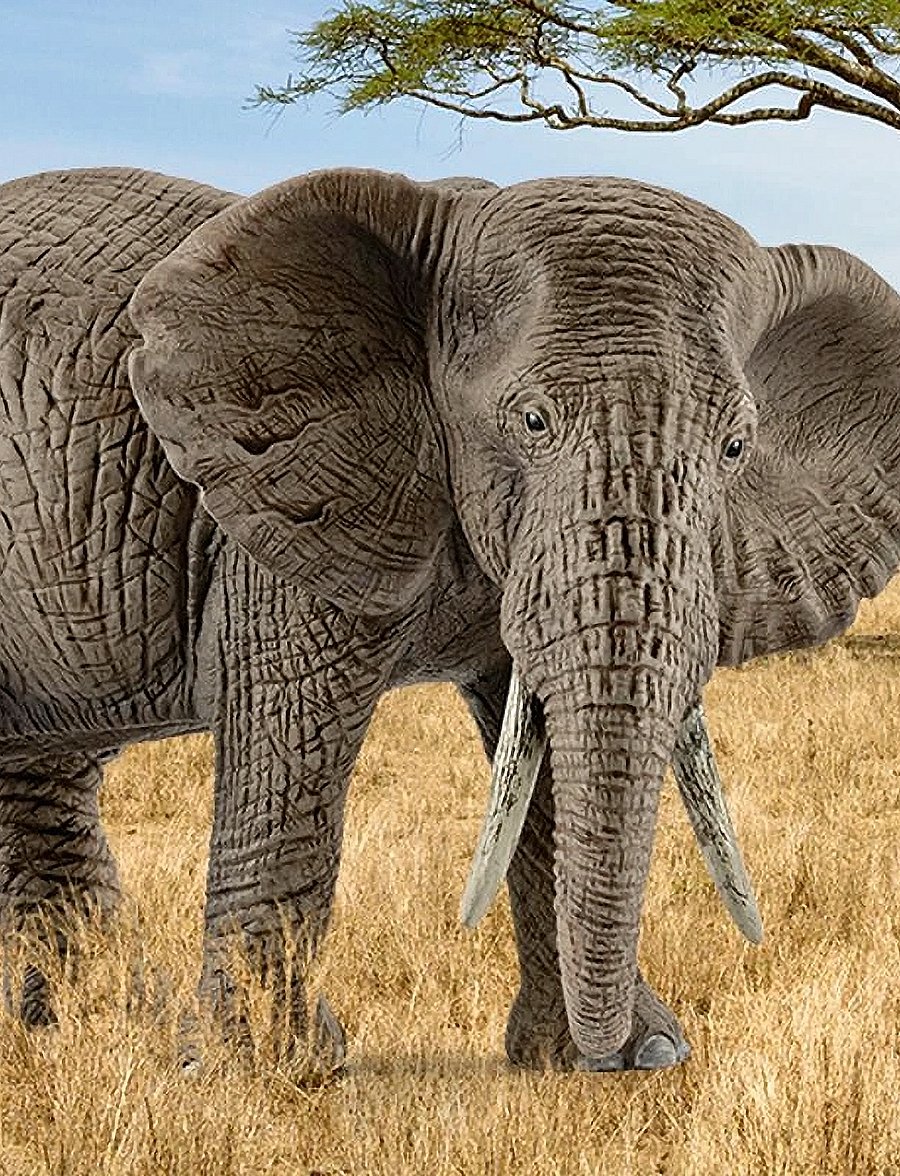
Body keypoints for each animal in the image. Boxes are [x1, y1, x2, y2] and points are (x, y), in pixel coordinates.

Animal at [1, 166, 898, 1075]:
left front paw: (604, 1059)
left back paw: (87, 1029)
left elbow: (538, 755)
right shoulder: (282, 502)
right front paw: (260, 1074)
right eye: (531, 421)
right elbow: (291, 737)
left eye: (736, 448)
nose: (634, 1058)